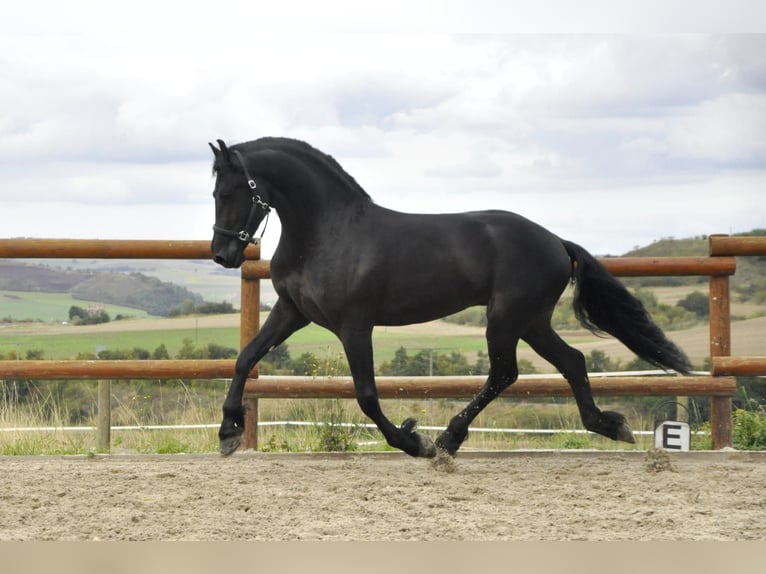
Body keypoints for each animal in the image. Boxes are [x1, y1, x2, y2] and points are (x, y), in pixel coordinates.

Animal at [207, 137, 692, 462]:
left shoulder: (354, 325)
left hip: (506, 318)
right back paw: (608, 425)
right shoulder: (291, 312)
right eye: (215, 193)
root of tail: (556, 242)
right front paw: (228, 432)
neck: (327, 233)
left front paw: (412, 441)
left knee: (505, 374)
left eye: (232, 191)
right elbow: (245, 359)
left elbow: (366, 394)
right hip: (532, 321)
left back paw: (447, 440)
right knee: (571, 361)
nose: (223, 254)